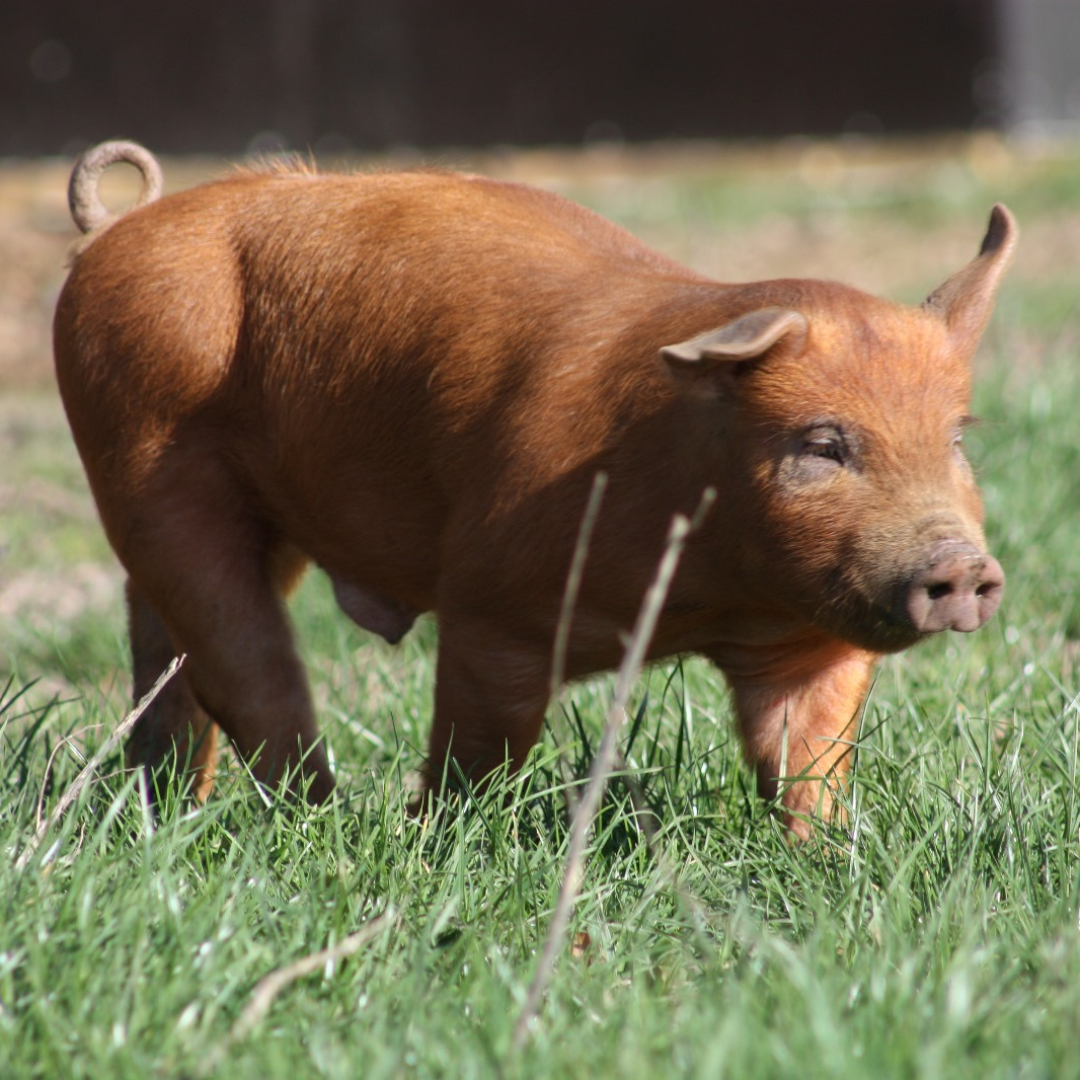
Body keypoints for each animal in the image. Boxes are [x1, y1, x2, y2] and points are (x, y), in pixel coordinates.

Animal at [52, 141, 1010, 833]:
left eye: (957, 439)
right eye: (822, 444)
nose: (960, 564)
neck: (710, 600)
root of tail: (114, 230)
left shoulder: (808, 642)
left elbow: (808, 761)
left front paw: (828, 862)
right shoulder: (491, 604)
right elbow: (483, 747)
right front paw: (445, 841)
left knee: (168, 660)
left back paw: (170, 810)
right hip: (143, 456)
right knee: (244, 665)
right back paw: (321, 823)